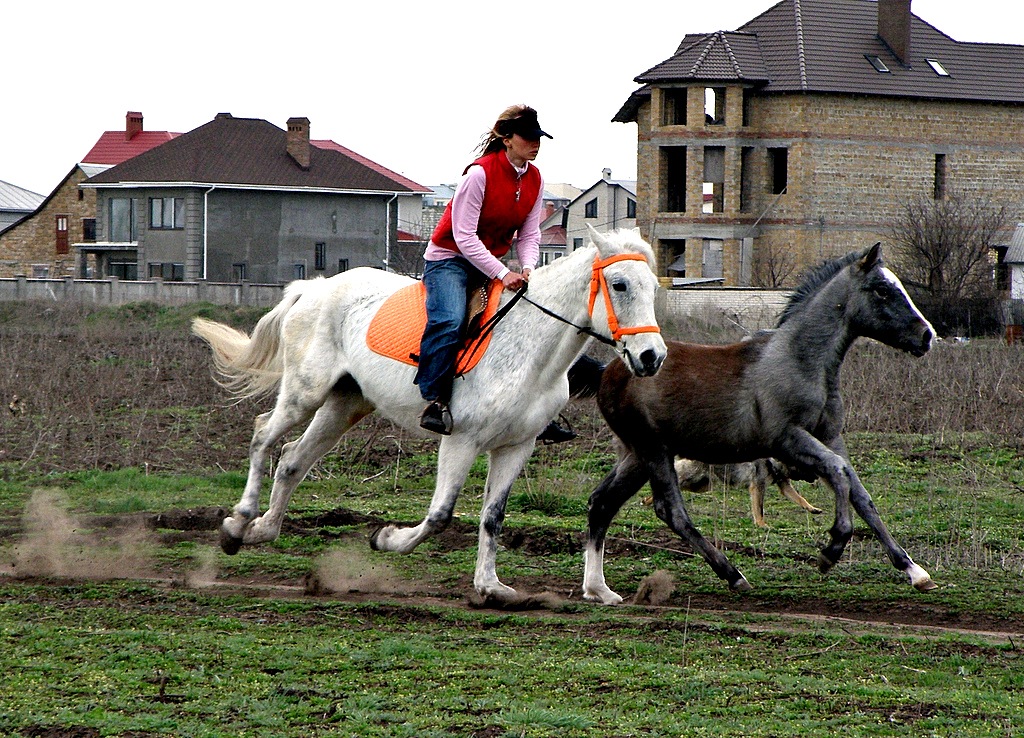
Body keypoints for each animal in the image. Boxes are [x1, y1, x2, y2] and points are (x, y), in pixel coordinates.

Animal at [192, 227, 667, 601]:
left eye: (653, 288)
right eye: (620, 284)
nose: (652, 356)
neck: (530, 353)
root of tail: (314, 287)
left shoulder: (516, 446)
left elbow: (493, 517)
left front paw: (490, 587)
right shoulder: (461, 440)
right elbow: (440, 516)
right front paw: (386, 538)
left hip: (346, 404)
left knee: (292, 459)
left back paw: (261, 531)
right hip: (304, 393)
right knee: (262, 435)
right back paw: (238, 523)